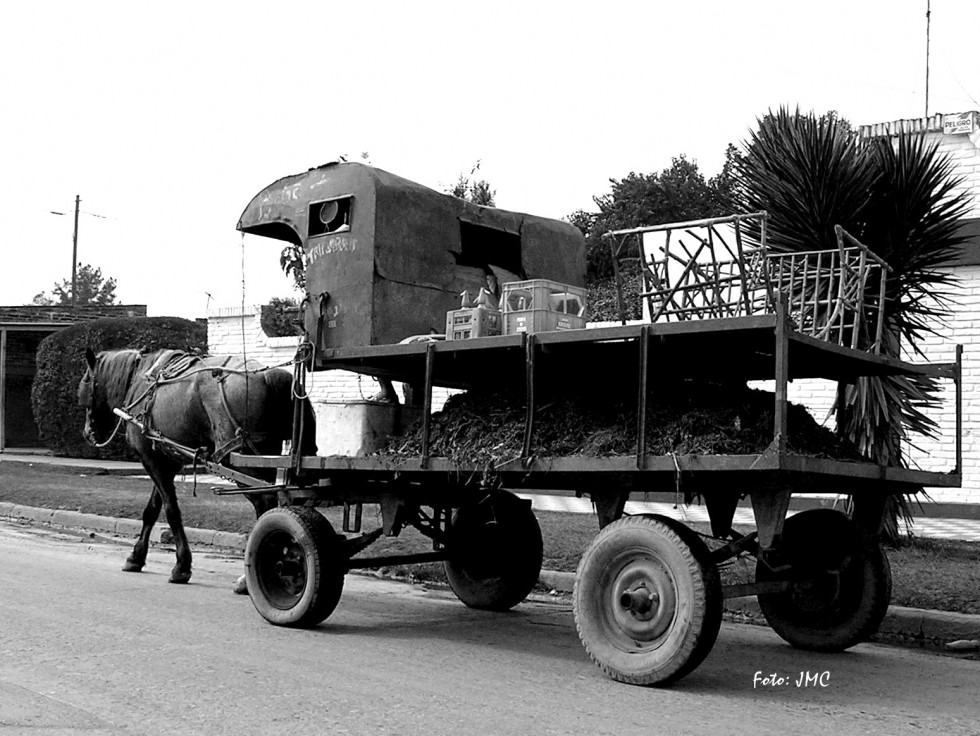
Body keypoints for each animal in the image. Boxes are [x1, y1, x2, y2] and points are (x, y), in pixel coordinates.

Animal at [81, 348, 318, 588]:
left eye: (85, 385)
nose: (87, 433)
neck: (138, 380)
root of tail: (271, 375)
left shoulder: (151, 460)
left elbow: (171, 510)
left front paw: (181, 566)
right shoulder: (166, 460)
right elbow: (152, 509)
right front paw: (136, 557)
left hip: (244, 459)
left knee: (266, 503)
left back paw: (251, 576)